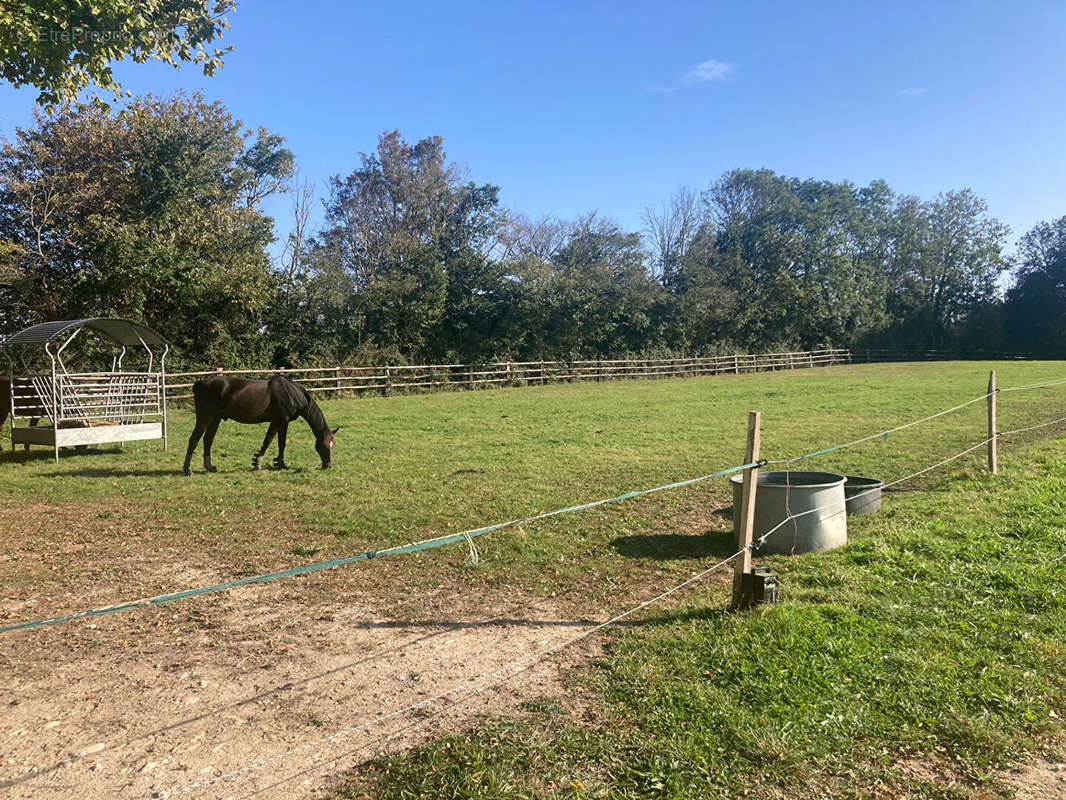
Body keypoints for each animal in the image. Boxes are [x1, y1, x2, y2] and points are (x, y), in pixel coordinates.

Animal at [183, 375, 338, 475]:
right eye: (324, 445)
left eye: (333, 445)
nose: (329, 466)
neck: (291, 393)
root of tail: (200, 384)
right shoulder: (283, 421)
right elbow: (281, 443)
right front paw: (281, 465)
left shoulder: (275, 421)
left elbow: (267, 440)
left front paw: (257, 462)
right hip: (204, 417)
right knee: (194, 440)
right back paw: (187, 469)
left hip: (215, 418)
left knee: (207, 440)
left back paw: (209, 467)